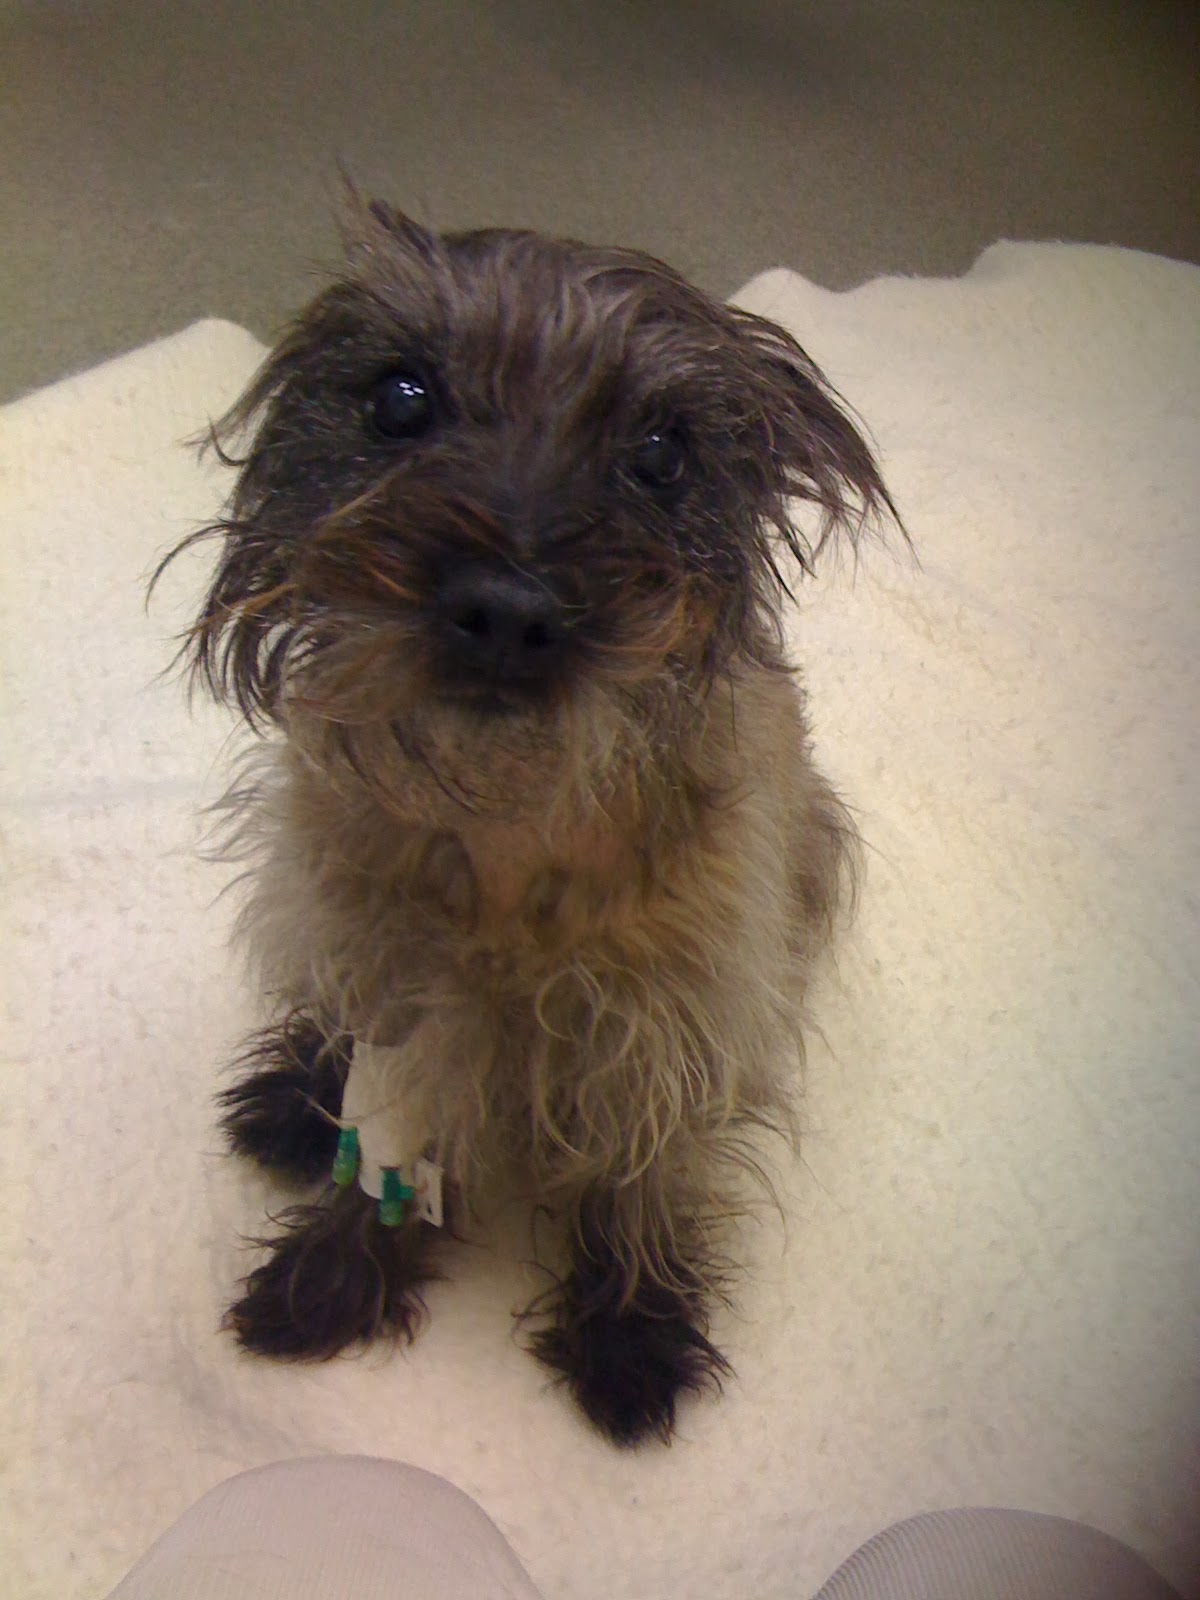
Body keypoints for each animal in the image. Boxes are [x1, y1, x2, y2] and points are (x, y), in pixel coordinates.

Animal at [159, 198, 896, 1446]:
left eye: (661, 455)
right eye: (399, 398)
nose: (505, 610)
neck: (505, 832)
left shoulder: (677, 1016)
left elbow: (647, 1172)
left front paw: (630, 1330)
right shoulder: (395, 985)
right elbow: (374, 1151)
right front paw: (331, 1277)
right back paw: (292, 1094)